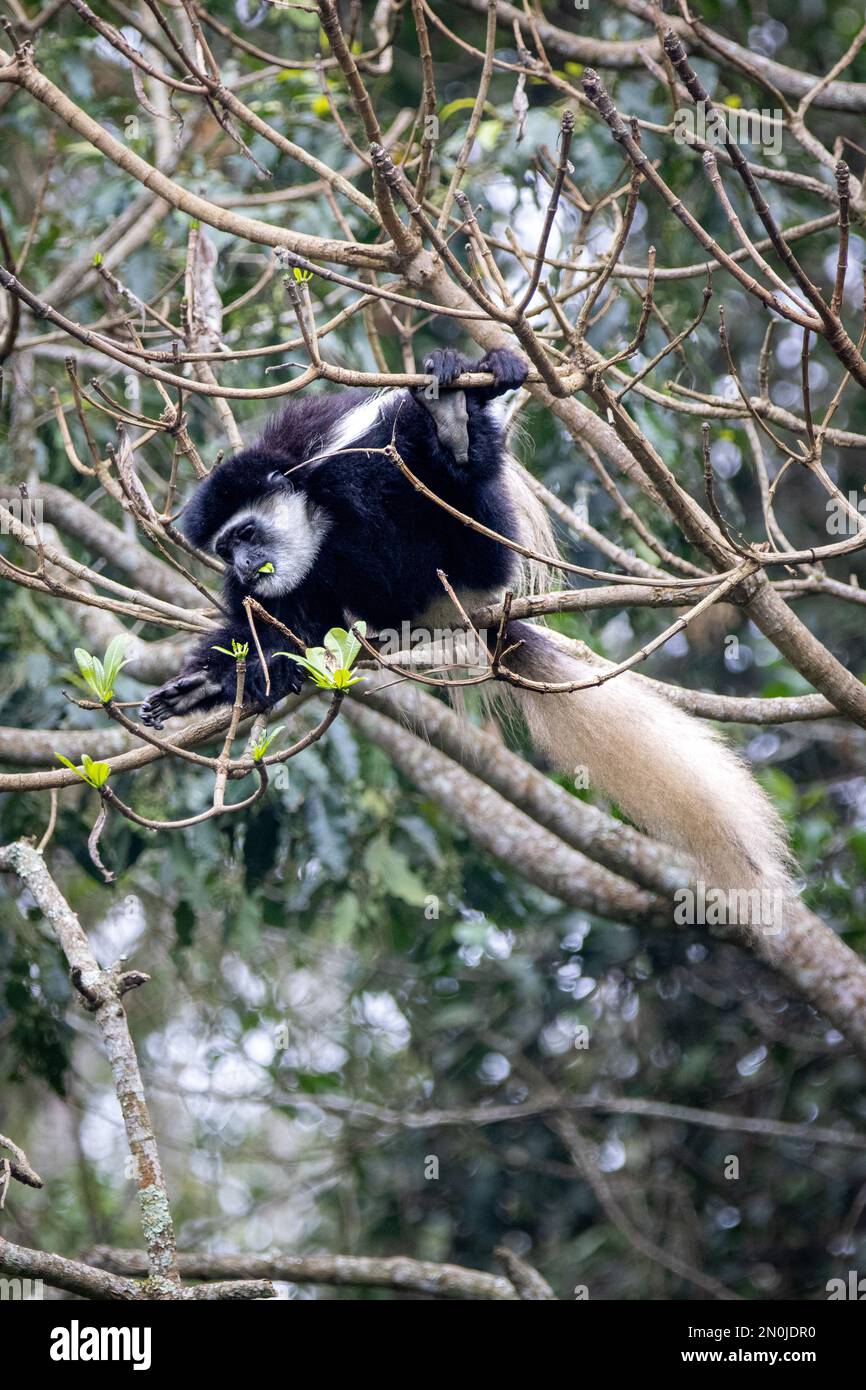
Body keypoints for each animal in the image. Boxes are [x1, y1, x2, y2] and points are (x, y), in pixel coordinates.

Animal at [140, 341, 795, 895]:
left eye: (247, 534)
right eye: (225, 548)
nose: (245, 565)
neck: (308, 504)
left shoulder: (346, 457)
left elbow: (393, 453)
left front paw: (459, 412)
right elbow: (268, 634)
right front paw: (204, 685)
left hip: (471, 557)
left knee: (441, 505)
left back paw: (453, 433)